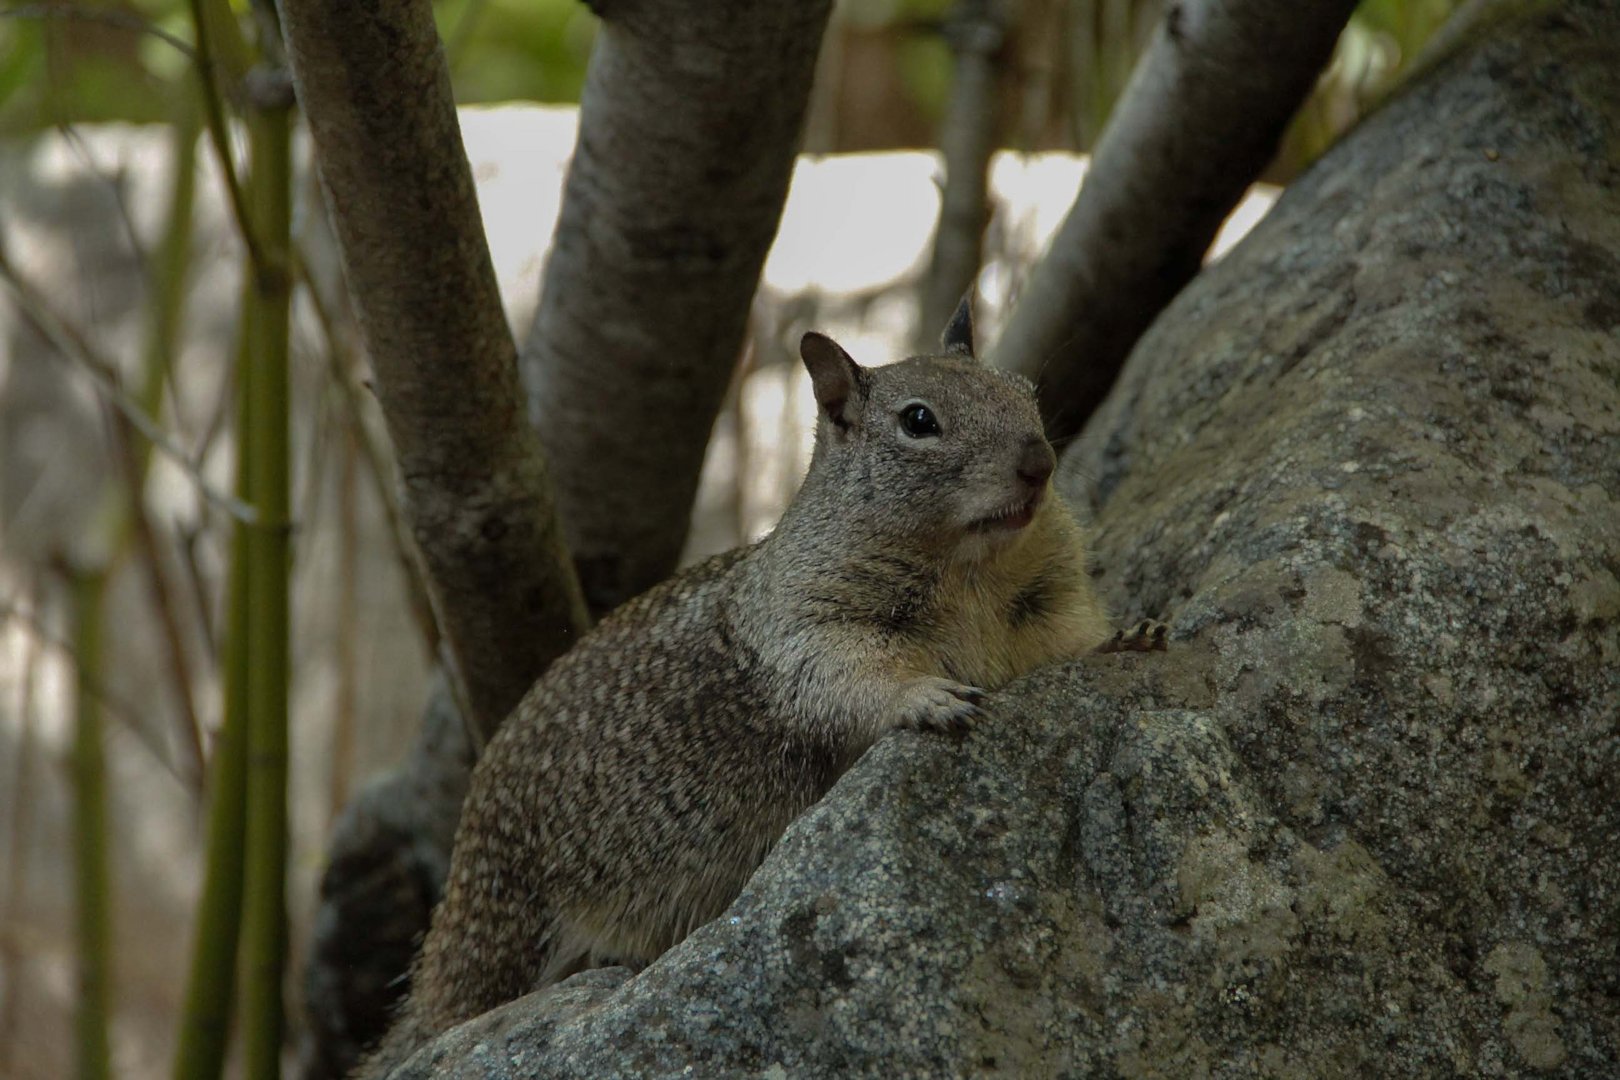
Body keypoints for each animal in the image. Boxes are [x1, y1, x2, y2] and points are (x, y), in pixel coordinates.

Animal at [364, 299, 1166, 1075]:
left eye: (1025, 391)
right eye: (919, 421)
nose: (1039, 462)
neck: (973, 573)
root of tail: (467, 864)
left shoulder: (1044, 611)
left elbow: (1070, 643)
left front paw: (1128, 636)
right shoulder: (808, 629)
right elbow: (851, 679)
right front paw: (924, 697)